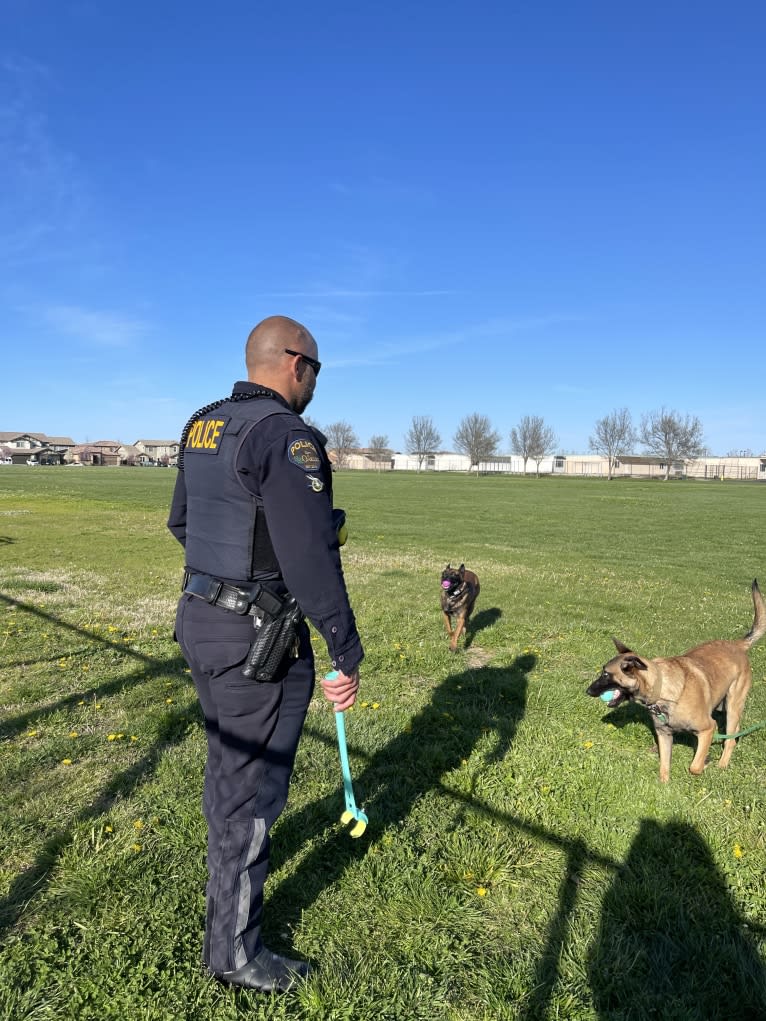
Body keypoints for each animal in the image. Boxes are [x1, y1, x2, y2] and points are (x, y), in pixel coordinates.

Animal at [592, 584, 763, 780]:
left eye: (606, 674)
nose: (587, 691)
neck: (662, 690)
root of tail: (737, 644)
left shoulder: (708, 728)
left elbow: (694, 766)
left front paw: (704, 764)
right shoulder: (664, 734)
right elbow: (664, 766)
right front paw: (663, 784)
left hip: (733, 705)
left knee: (730, 740)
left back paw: (722, 764)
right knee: (734, 734)